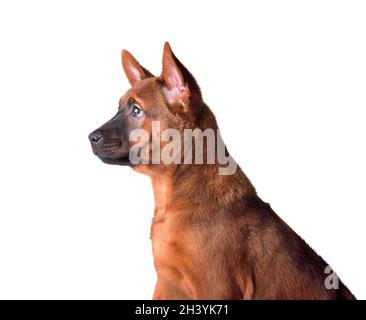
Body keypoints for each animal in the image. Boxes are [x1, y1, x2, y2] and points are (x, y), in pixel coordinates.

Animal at [88, 42, 354, 300]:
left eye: (136, 111)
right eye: (119, 108)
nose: (91, 137)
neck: (174, 196)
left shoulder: (215, 287)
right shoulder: (166, 285)